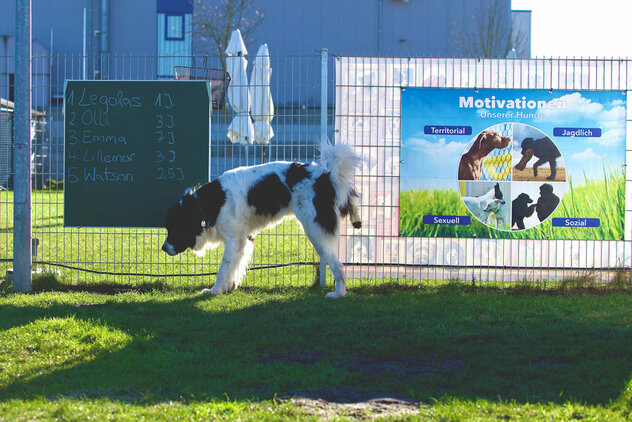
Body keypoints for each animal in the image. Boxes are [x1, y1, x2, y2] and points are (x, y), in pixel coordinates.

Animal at [160, 143, 362, 298]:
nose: (163, 248)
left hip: (314, 231)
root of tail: (326, 175)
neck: (206, 204)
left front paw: (214, 290)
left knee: (338, 266)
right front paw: (230, 287)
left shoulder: (233, 240)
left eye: (174, 229)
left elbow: (224, 268)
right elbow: (235, 266)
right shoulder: (244, 239)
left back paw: (338, 294)